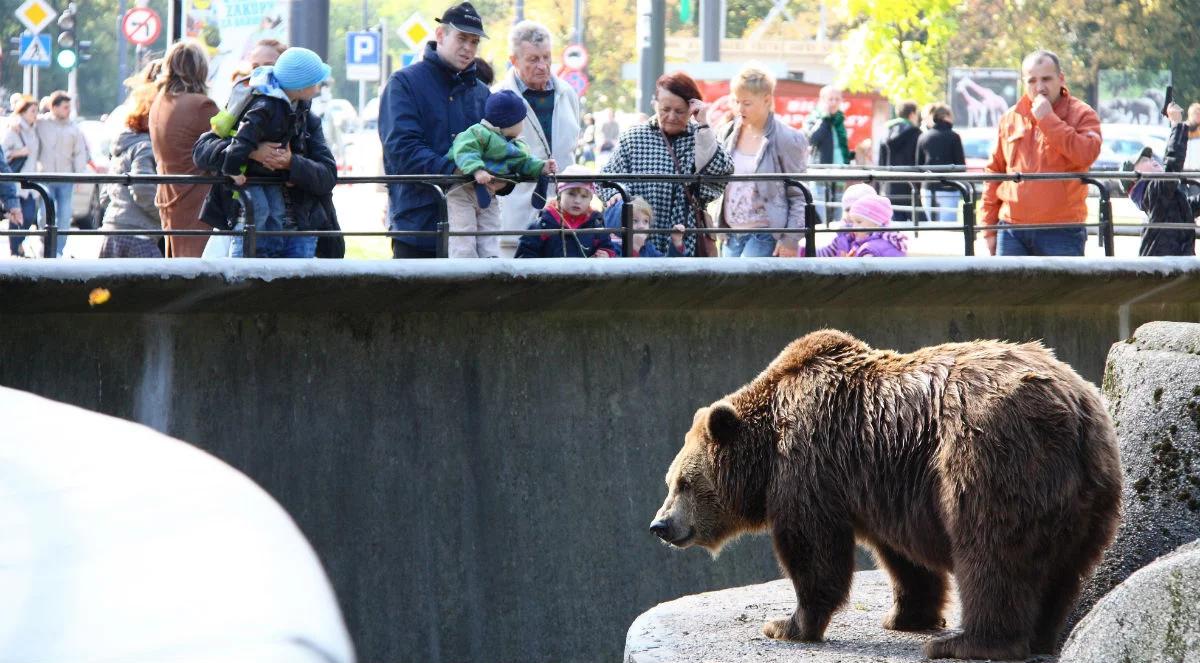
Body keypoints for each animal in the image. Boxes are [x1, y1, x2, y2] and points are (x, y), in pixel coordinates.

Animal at [652, 329, 1118, 658]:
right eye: (670, 482)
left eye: (684, 483)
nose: (660, 525)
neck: (766, 454)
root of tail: (1075, 411)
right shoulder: (886, 487)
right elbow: (905, 560)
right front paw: (904, 616)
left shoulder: (809, 467)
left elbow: (813, 552)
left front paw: (785, 624)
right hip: (1089, 495)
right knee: (1061, 569)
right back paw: (1040, 633)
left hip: (992, 457)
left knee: (992, 551)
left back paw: (966, 644)